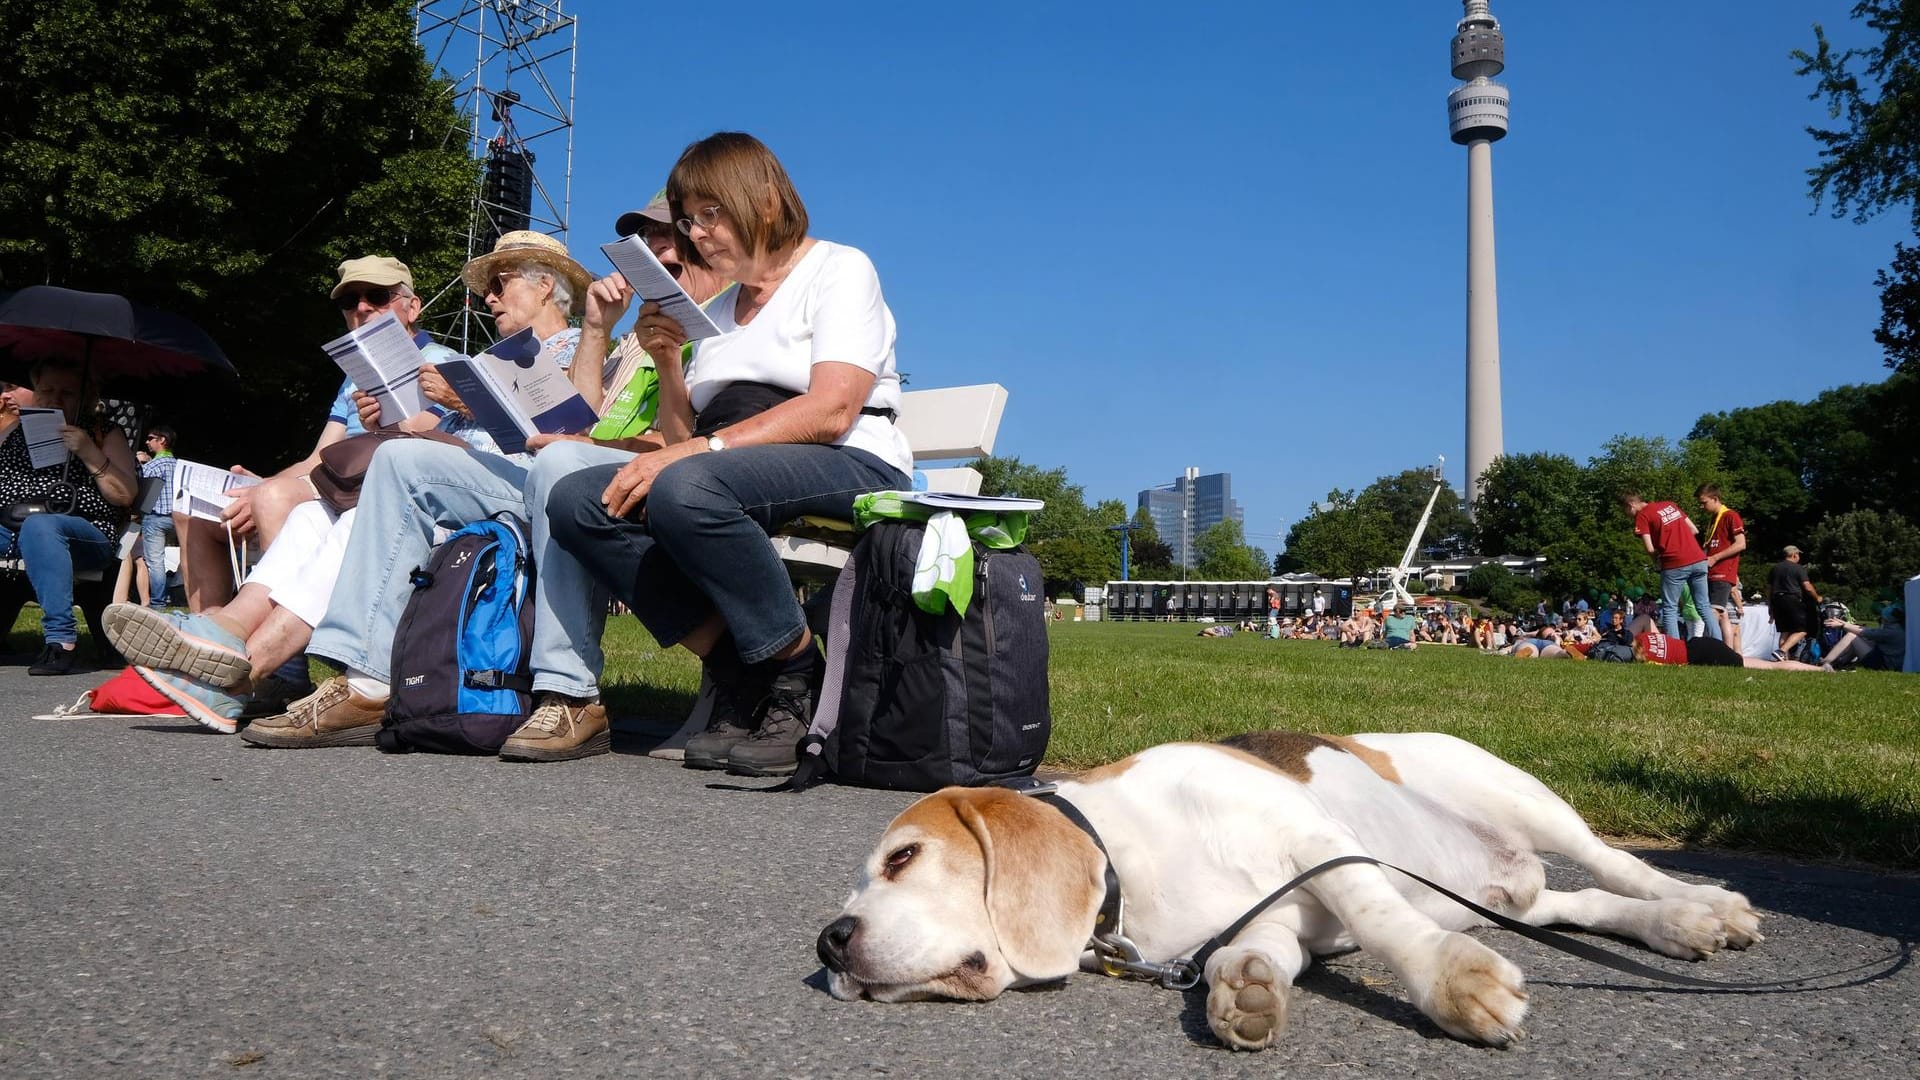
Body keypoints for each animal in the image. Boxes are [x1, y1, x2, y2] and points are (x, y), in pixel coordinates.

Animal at [817, 726, 1758, 1045]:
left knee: (1614, 865)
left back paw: (1707, 904)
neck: (1130, 857)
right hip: (1504, 898)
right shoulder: (1282, 916)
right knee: (1582, 904)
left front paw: (1450, 983)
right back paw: (1676, 925)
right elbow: (1253, 948)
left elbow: (1377, 917)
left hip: (1523, 797)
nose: (830, 941)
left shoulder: (1319, 846)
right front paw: (1247, 991)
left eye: (902, 859)